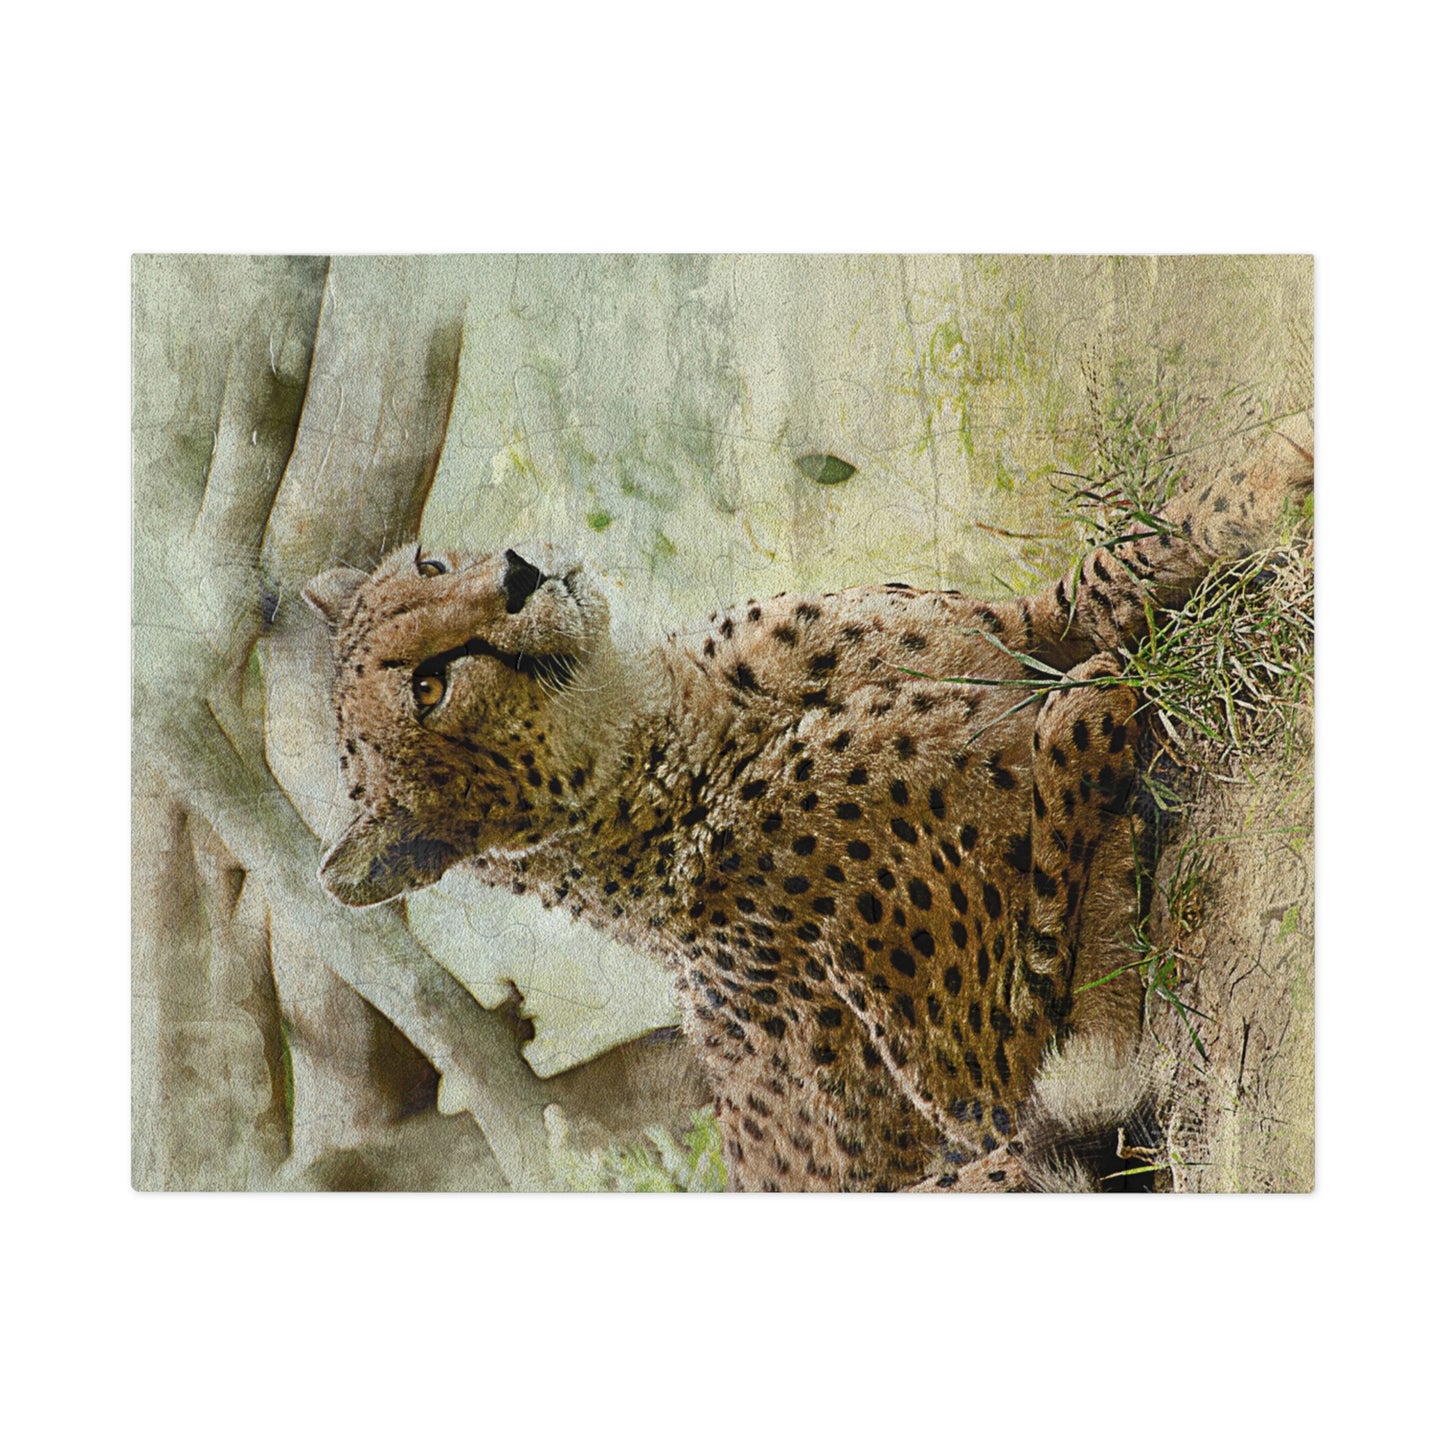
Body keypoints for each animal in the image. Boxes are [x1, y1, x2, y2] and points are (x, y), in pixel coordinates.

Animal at [304, 420, 1313, 1191]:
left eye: (432, 559)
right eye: (429, 688)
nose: (518, 572)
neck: (669, 730)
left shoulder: (1012, 630)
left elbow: (1119, 560)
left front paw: (1277, 466)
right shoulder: (985, 1090)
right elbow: (1059, 802)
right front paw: (1093, 710)